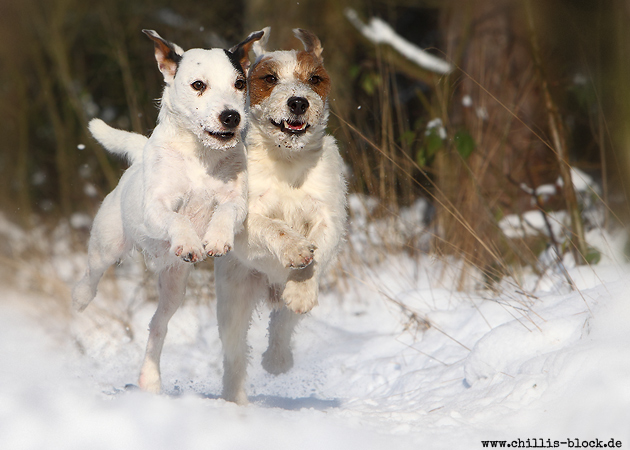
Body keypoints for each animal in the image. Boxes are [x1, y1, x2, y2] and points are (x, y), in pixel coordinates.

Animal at [73, 29, 262, 394]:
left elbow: (225, 212)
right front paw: (189, 240)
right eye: (198, 84)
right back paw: (78, 305)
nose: (231, 116)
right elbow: (176, 217)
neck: (201, 153)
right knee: (89, 278)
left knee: (157, 325)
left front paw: (216, 239)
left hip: (175, 285)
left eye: (240, 82)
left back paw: (149, 378)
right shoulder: (156, 208)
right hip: (105, 247)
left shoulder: (237, 201)